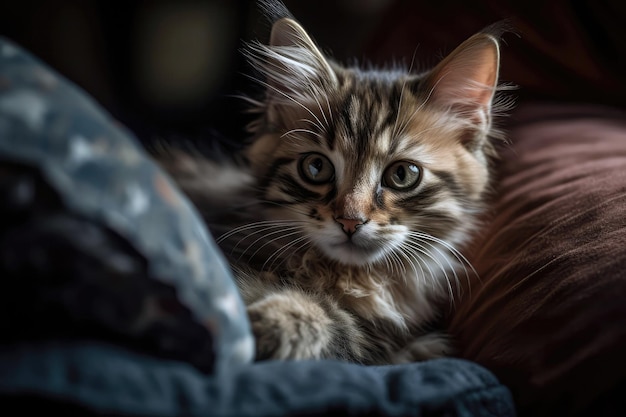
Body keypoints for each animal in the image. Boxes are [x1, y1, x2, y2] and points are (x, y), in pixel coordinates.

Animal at [158, 1, 504, 362]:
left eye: (402, 175)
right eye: (316, 167)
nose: (350, 222)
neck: (354, 277)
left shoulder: (376, 331)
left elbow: (349, 326)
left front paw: (275, 320)